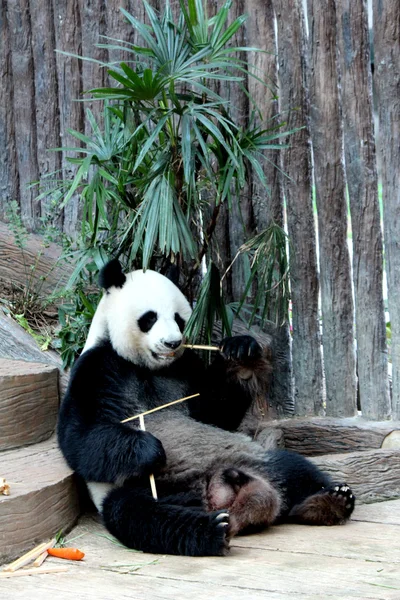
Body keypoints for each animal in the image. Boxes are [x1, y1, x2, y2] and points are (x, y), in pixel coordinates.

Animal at [57, 260, 354, 556]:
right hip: (145, 489)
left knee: (294, 468)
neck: (149, 367)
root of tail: (219, 496)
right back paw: (213, 530)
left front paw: (242, 354)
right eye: (150, 318)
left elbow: (215, 414)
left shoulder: (185, 368)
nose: (173, 343)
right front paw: (149, 449)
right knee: (142, 517)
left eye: (179, 318)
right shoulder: (98, 367)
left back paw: (332, 501)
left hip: (252, 458)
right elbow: (80, 439)